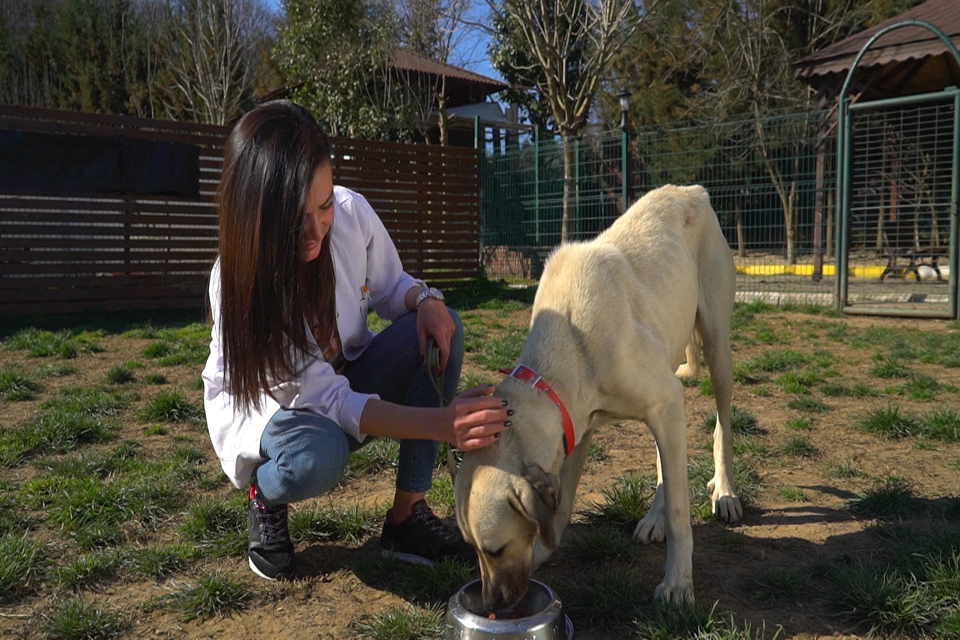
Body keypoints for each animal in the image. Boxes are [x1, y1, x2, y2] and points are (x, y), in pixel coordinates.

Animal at [454, 184, 740, 608]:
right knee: (666, 460)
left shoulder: (664, 400)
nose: (490, 606)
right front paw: (544, 552)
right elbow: (563, 503)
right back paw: (653, 517)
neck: (572, 345)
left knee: (722, 426)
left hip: (717, 349)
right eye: (471, 549)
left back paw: (724, 491)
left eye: (495, 550)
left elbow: (680, 514)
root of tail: (692, 189)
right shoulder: (577, 426)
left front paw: (677, 583)